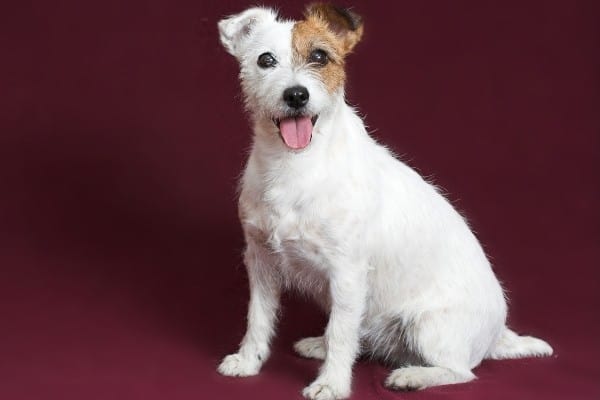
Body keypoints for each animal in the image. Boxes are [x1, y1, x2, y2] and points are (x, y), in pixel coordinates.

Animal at [216, 3, 552, 400]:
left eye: (320, 56)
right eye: (265, 60)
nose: (296, 95)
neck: (295, 165)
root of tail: (498, 335)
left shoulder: (347, 272)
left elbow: (341, 333)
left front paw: (332, 383)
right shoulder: (261, 262)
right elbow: (258, 319)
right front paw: (248, 361)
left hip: (428, 326)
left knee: (460, 372)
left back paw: (413, 376)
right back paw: (320, 345)